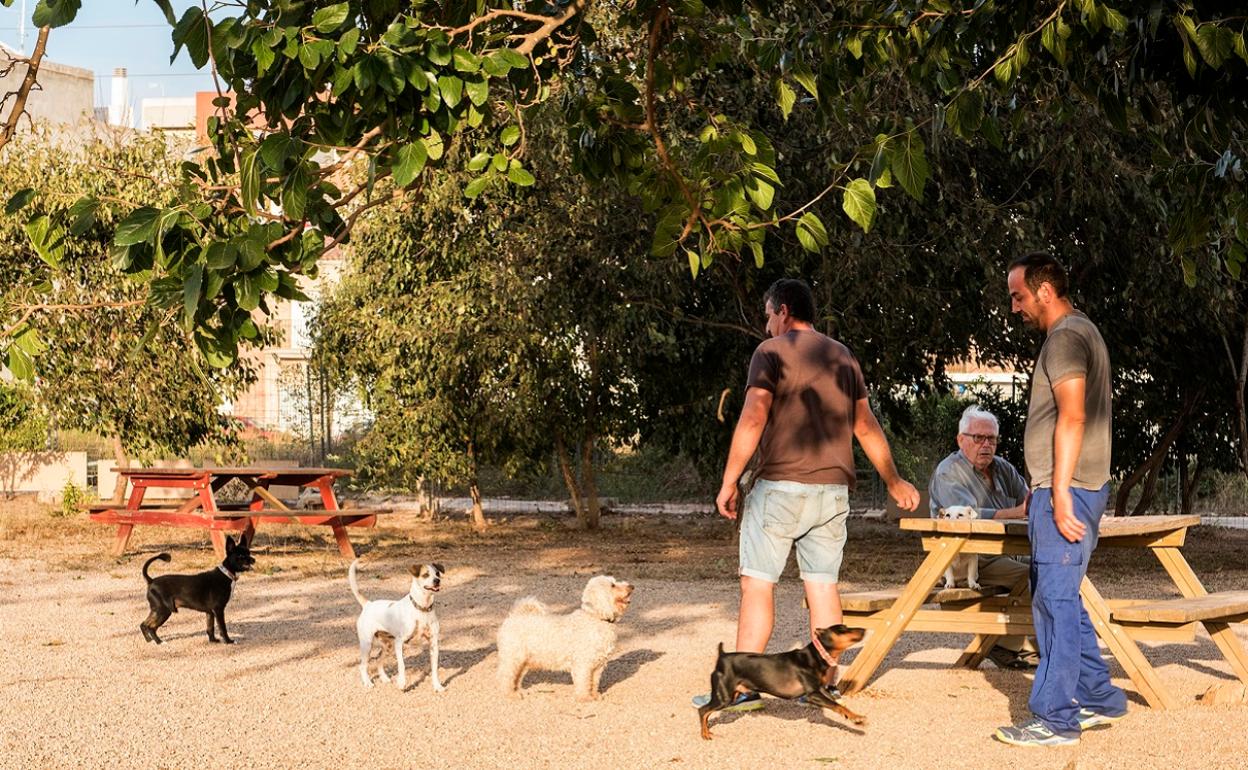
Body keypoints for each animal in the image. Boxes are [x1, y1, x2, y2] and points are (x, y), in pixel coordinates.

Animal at [494, 574, 633, 698]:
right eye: (612, 585)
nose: (631, 586)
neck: (596, 617)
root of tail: (514, 616)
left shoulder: (598, 665)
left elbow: (593, 682)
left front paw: (595, 696)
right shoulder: (583, 664)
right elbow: (584, 682)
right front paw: (585, 698)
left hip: (523, 660)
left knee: (516, 677)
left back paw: (517, 691)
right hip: (513, 657)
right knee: (505, 676)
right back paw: (509, 694)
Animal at [703, 618, 868, 738]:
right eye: (842, 629)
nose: (863, 629)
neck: (815, 655)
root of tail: (722, 656)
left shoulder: (821, 690)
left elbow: (840, 705)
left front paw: (855, 718)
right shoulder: (813, 694)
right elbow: (836, 705)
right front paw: (855, 720)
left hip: (733, 694)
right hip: (724, 697)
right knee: (703, 711)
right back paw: (705, 734)